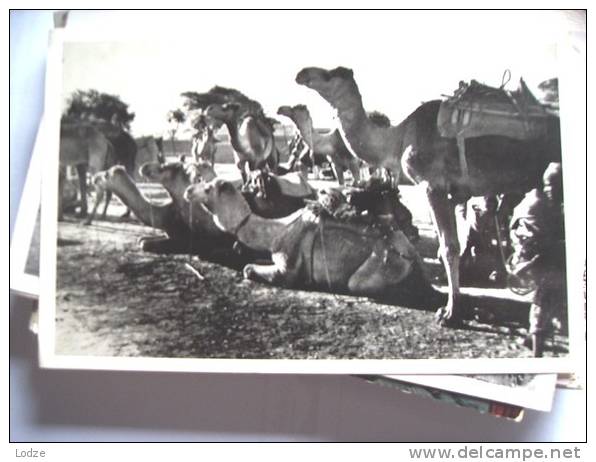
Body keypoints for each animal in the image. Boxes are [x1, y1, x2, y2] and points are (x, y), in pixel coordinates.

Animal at [186, 178, 442, 306]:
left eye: (207, 188)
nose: (188, 190)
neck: (276, 230)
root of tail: (412, 255)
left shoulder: (287, 267)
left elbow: (250, 269)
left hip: (381, 267)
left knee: (359, 284)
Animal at [296, 66, 560, 324]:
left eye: (331, 74)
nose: (302, 74)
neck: (399, 138)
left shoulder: (432, 186)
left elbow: (449, 247)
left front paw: (451, 312)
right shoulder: (453, 195)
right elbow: (449, 245)